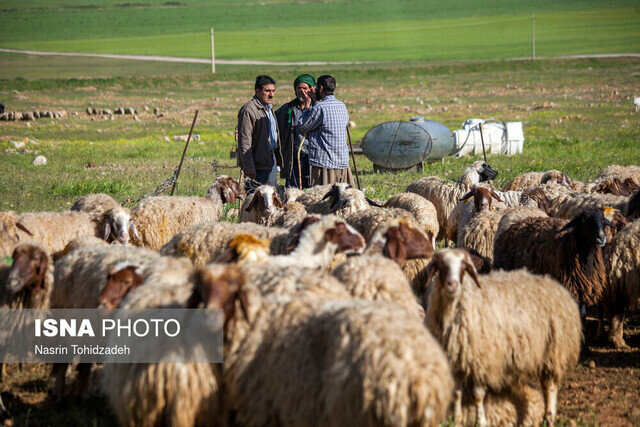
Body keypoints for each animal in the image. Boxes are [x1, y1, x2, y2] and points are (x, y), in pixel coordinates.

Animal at [422, 249, 584, 426]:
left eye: (464, 268)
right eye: (441, 266)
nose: (453, 285)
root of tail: (555, 284)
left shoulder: (482, 359)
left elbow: (478, 395)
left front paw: (481, 421)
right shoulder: (456, 359)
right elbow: (457, 393)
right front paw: (457, 420)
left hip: (553, 351)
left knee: (550, 387)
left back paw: (549, 417)